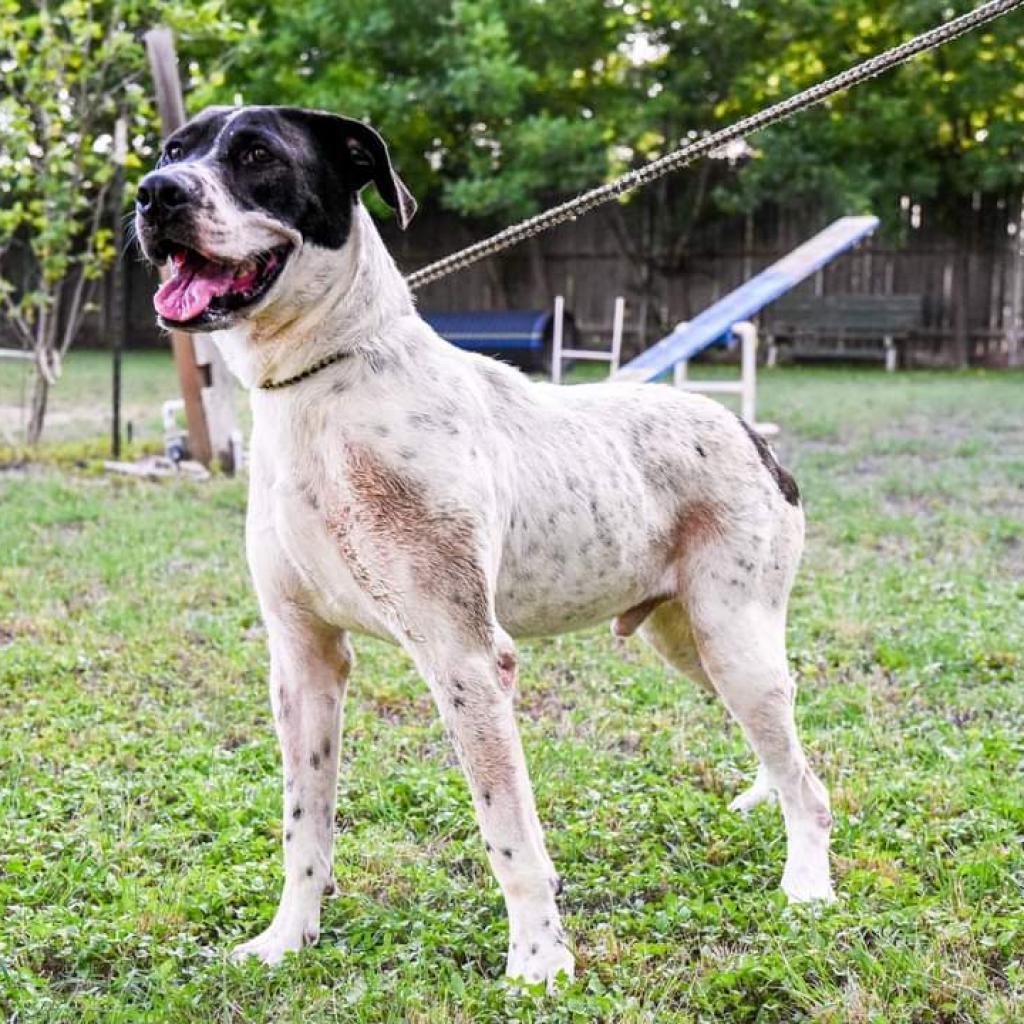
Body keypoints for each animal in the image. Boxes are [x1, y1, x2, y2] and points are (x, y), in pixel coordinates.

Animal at [132, 105, 831, 991]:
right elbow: (303, 826)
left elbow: (511, 837)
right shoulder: (303, 662)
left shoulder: (466, 660)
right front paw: (290, 938)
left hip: (736, 644)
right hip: (693, 646)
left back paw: (807, 885)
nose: (154, 194)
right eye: (172, 150)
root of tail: (749, 432)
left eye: (257, 155)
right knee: (780, 750)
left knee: (809, 782)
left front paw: (539, 959)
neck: (324, 387)